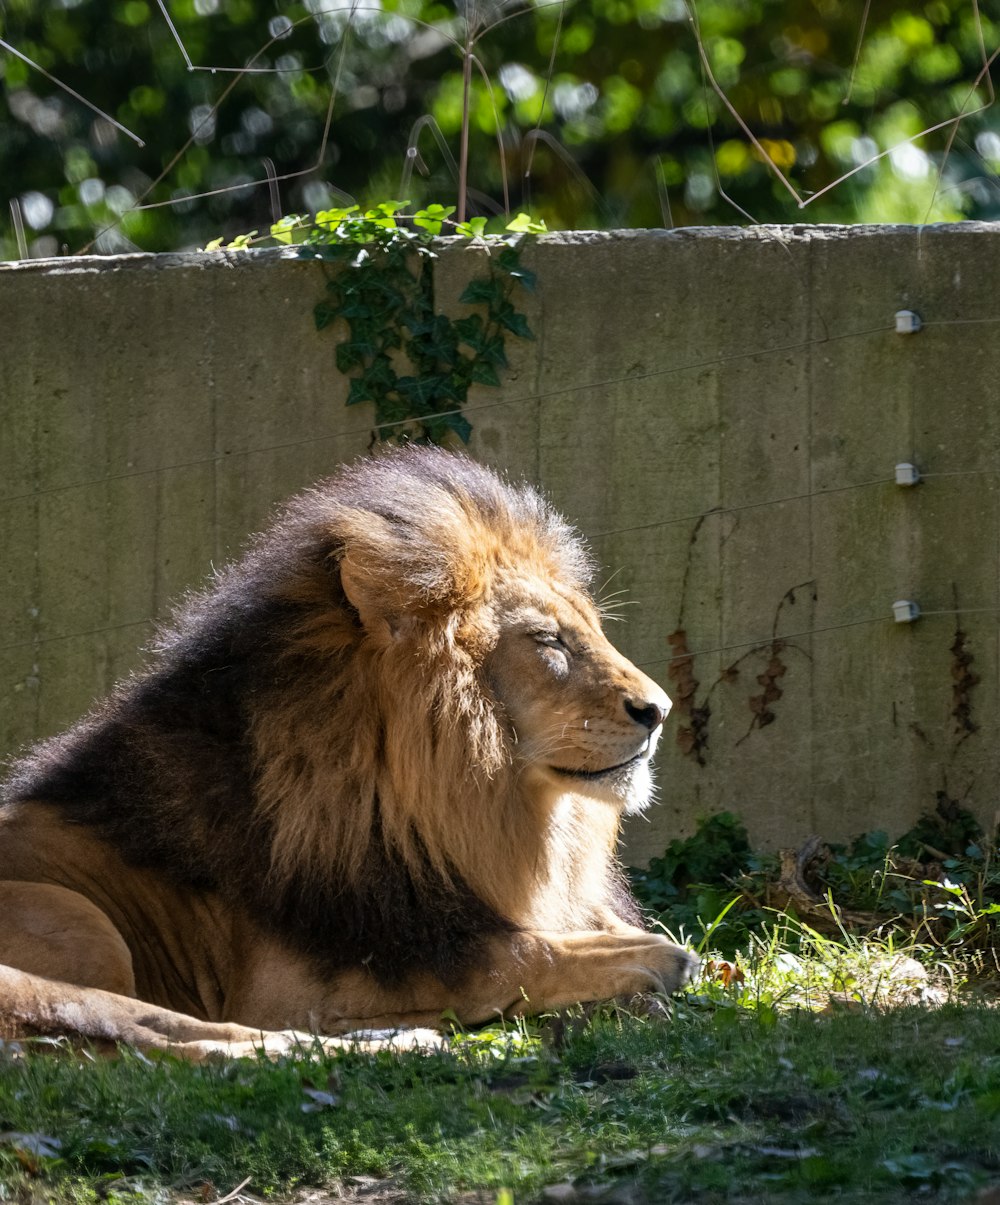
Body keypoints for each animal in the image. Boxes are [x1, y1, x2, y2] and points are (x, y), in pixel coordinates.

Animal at [1, 448, 698, 1060]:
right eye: (549, 640)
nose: (660, 710)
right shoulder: (303, 983)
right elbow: (517, 956)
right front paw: (656, 959)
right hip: (80, 922)